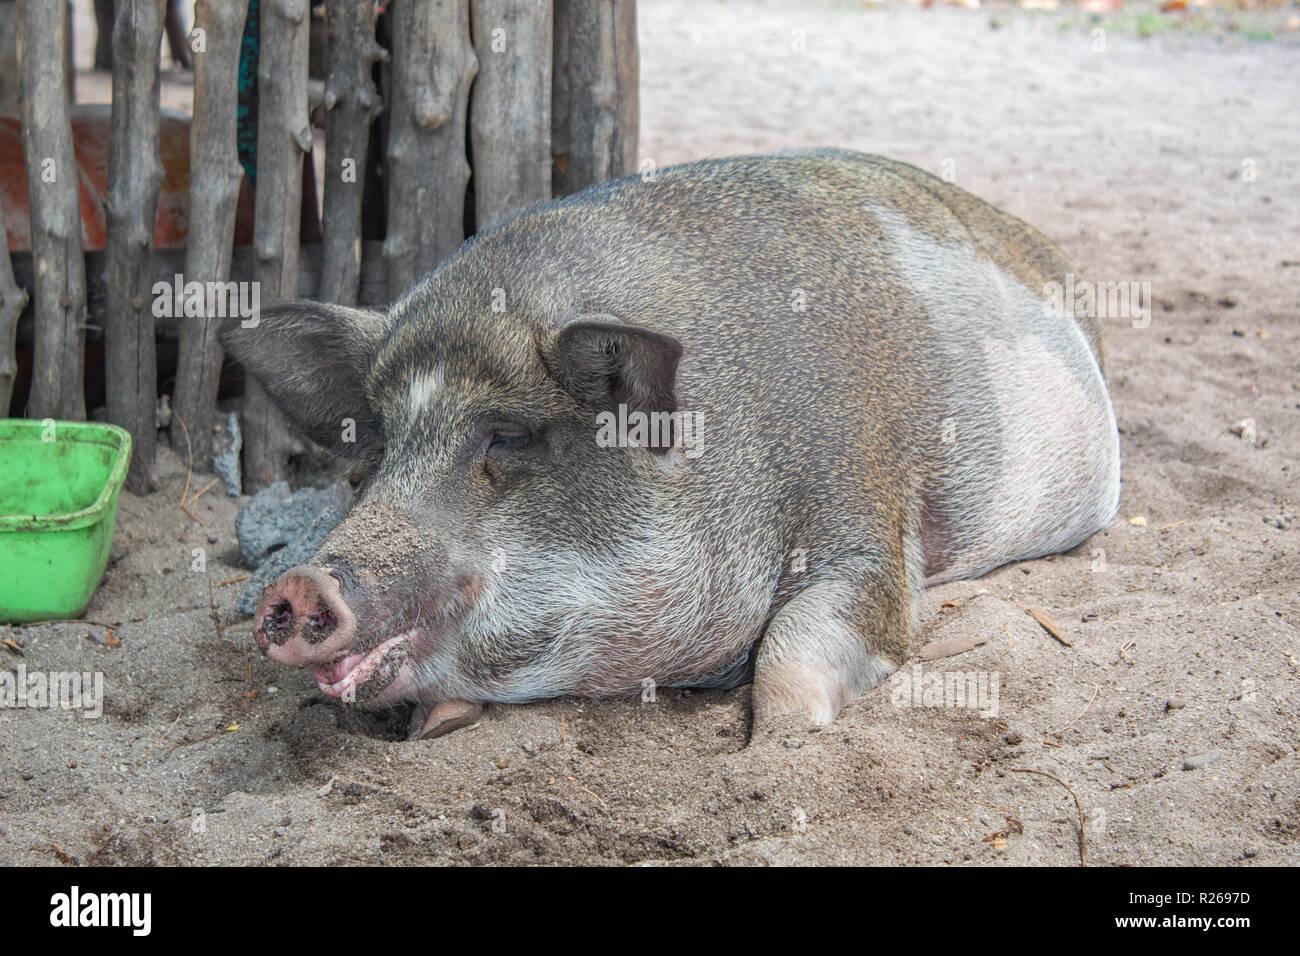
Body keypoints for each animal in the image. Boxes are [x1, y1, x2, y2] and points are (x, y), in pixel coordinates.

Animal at [220, 149, 1118, 743]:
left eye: (507, 435)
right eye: (377, 441)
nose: (296, 584)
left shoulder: (867, 514)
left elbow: (796, 647)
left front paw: (776, 749)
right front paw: (438, 723)